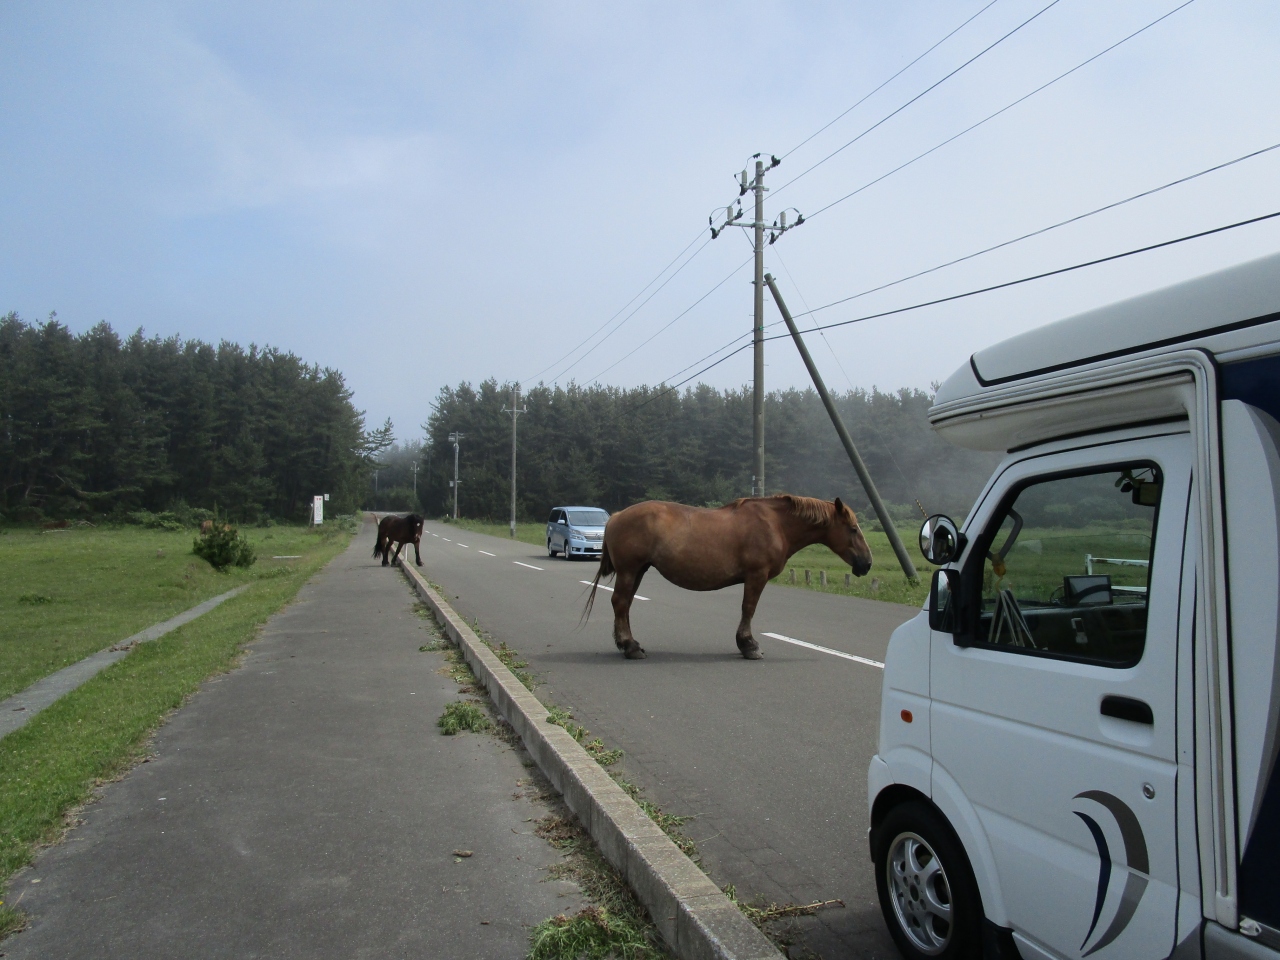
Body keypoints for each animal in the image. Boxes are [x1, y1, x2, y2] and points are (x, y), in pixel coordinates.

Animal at [586, 496, 870, 660]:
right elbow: (748, 609)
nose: (867, 563)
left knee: (624, 605)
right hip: (629, 571)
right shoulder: (756, 576)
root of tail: (617, 516)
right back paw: (630, 647)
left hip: (639, 571)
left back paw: (628, 643)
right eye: (853, 529)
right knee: (620, 603)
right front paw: (748, 645)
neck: (775, 523)